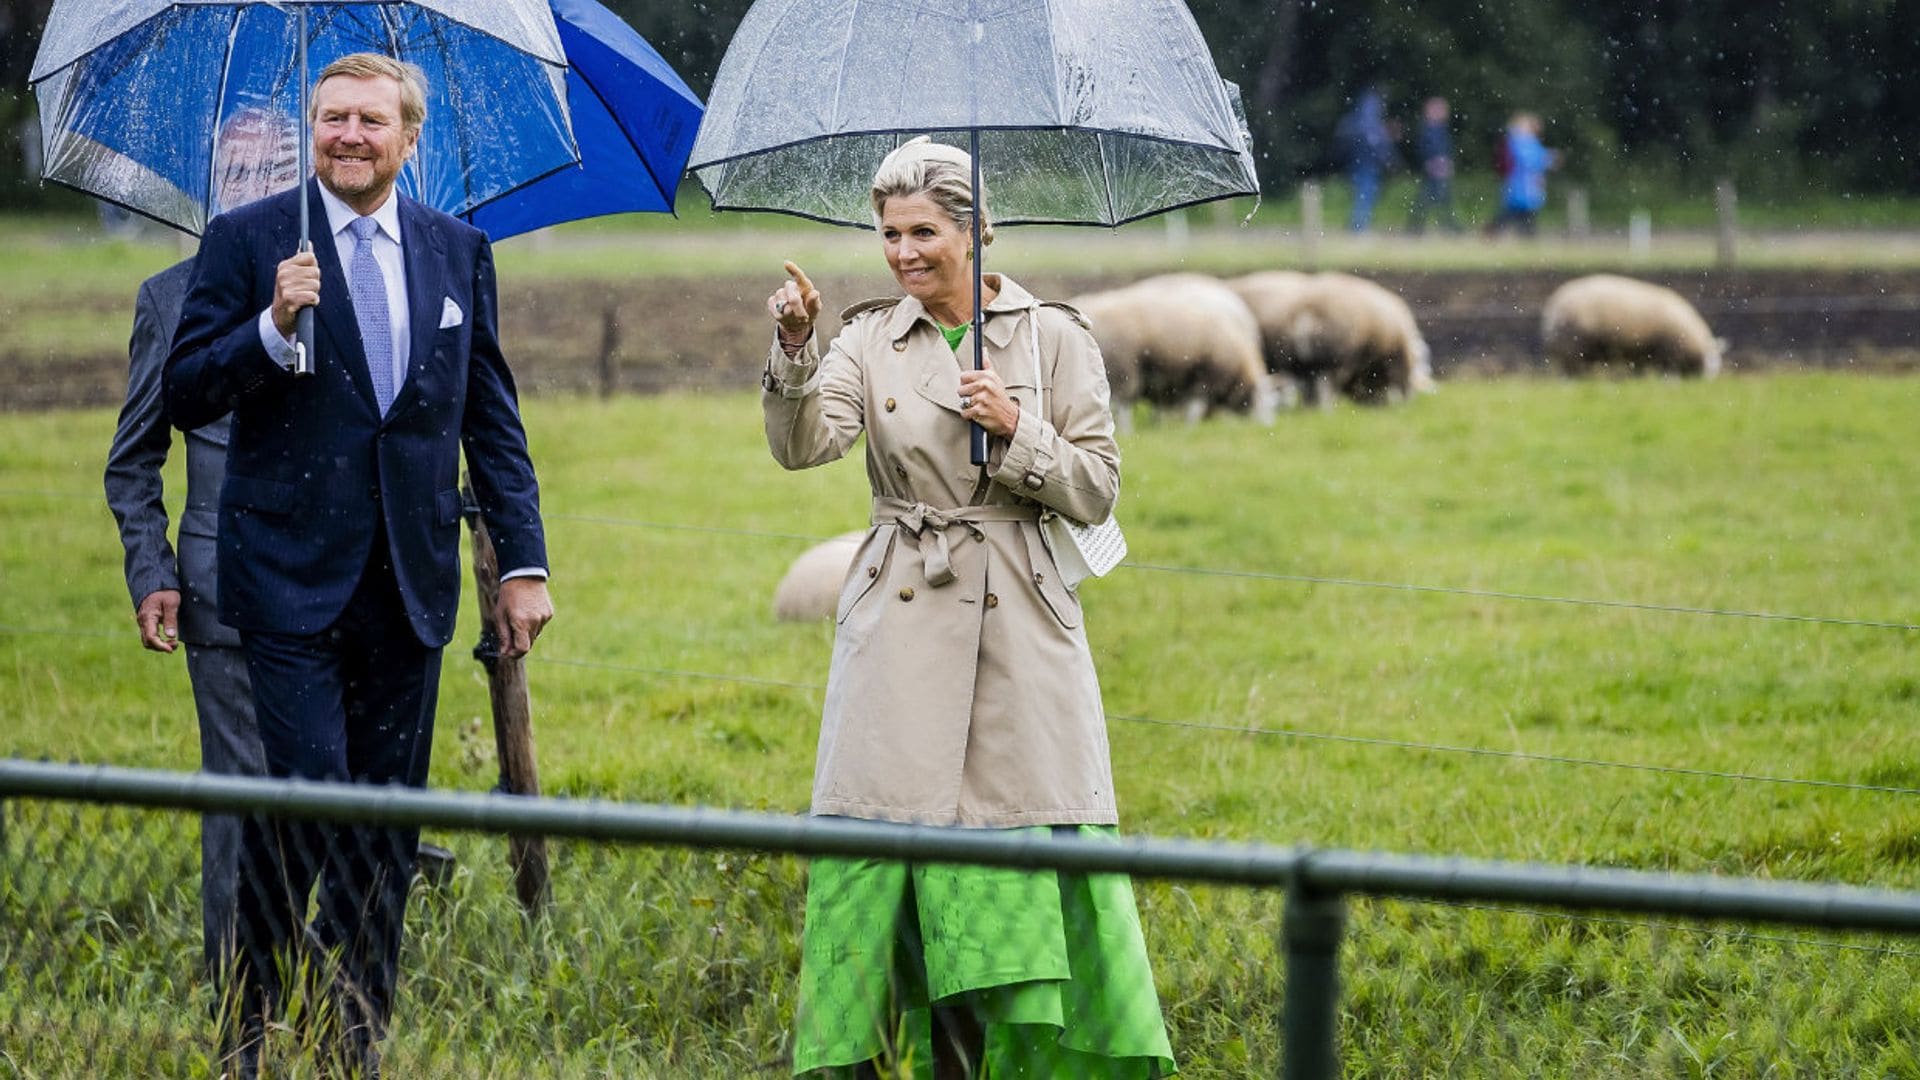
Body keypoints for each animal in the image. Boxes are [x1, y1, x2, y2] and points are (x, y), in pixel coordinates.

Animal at [1075, 270, 1282, 426]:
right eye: (1265, 402)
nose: (1268, 426)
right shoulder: (1206, 377)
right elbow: (1194, 407)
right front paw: (1190, 427)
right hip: (1123, 370)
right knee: (1122, 405)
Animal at [1543, 270, 1728, 376]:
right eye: (1711, 360)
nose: (1709, 379)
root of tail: (1553, 308)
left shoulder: (1642, 354)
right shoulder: (1666, 353)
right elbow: (1667, 373)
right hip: (1574, 349)